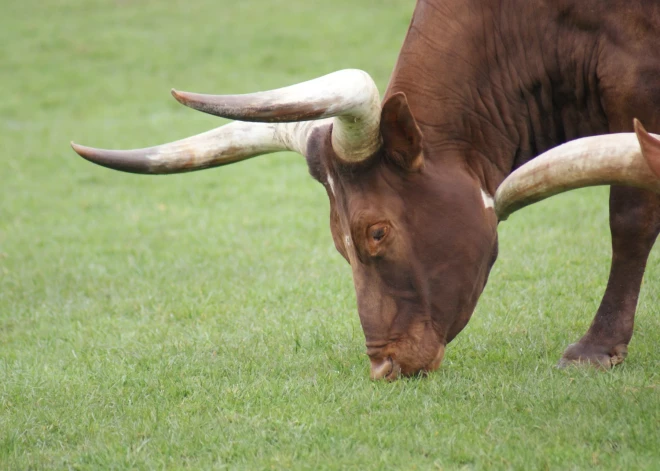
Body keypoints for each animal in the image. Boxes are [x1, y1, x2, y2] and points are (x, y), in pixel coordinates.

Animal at [72, 0, 660, 378]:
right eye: (339, 243)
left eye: (376, 232)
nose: (382, 364)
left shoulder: (638, 92)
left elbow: (629, 215)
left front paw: (597, 347)